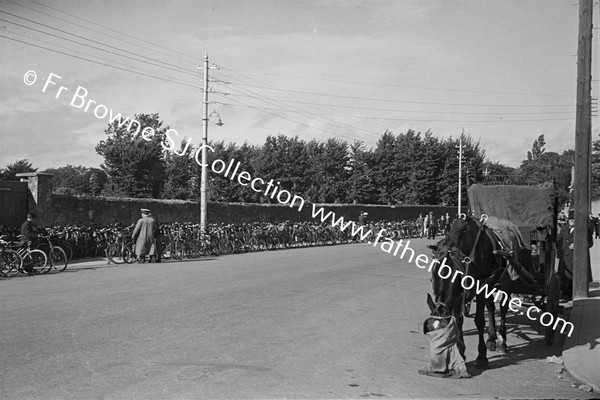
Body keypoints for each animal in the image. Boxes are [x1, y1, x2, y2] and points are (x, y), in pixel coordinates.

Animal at [424, 216, 512, 368]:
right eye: (430, 332)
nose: (438, 361)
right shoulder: (457, 295)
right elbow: (458, 320)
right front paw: (461, 350)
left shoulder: (481, 286)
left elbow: (480, 320)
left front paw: (482, 356)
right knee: (490, 306)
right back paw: (492, 338)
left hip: (503, 279)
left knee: (503, 307)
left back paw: (502, 341)